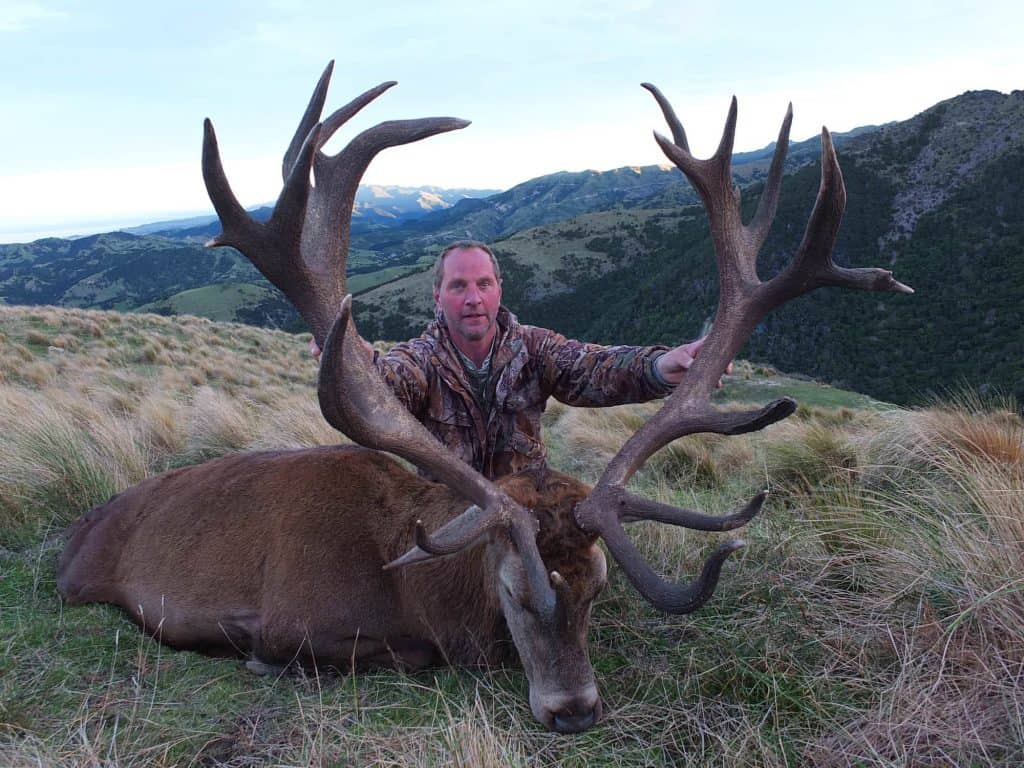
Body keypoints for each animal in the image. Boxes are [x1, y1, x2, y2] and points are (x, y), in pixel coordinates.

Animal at [57, 62, 912, 734]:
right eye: (515, 589)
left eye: (598, 587)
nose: (574, 710)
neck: (421, 586)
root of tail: (76, 529)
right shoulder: (302, 623)